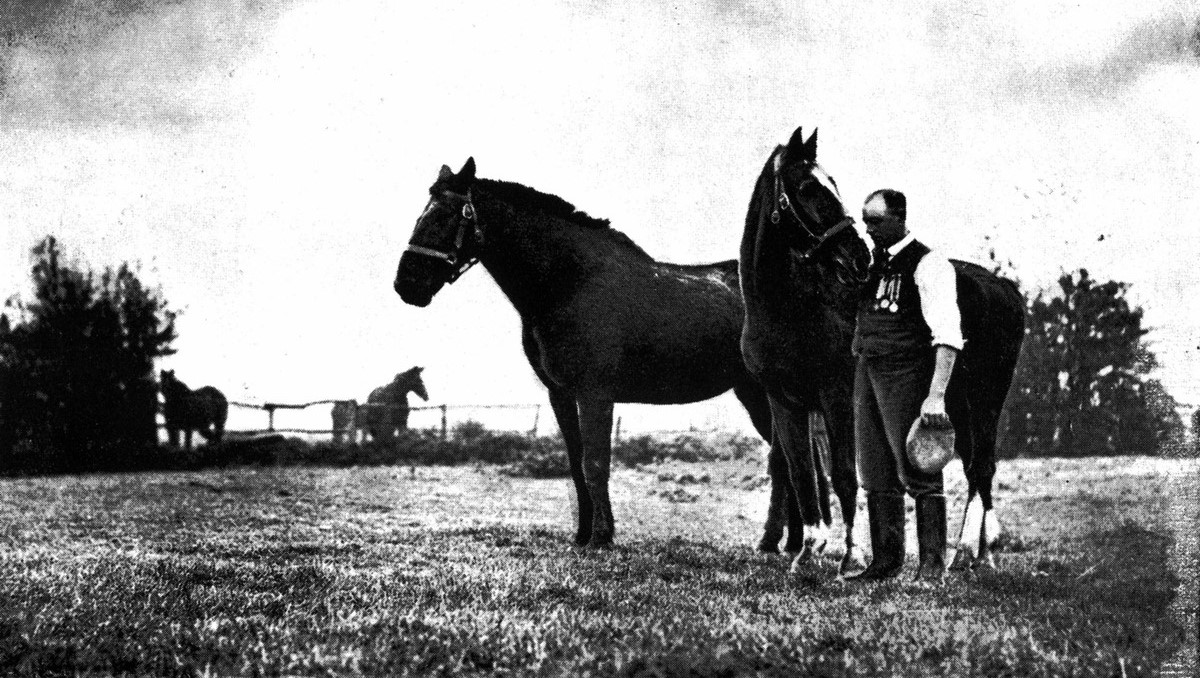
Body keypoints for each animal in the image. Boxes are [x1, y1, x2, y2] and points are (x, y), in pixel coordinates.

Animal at [394, 158, 809, 550]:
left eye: (447, 215)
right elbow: (576, 464)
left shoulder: (595, 394)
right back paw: (788, 542)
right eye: (423, 211)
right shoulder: (560, 395)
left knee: (785, 460)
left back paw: (777, 541)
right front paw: (581, 535)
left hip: (766, 395)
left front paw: (602, 537)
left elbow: (595, 463)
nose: (406, 284)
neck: (569, 282)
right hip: (754, 394)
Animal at [760, 126, 1025, 569]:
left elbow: (843, 476)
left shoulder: (836, 397)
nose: (858, 258)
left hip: (986, 397)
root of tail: (1002, 287)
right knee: (976, 464)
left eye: (832, 184)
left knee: (982, 466)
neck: (793, 309)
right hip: (956, 404)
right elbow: (801, 474)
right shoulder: (783, 401)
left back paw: (967, 552)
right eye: (807, 187)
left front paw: (849, 556)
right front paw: (807, 552)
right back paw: (980, 553)